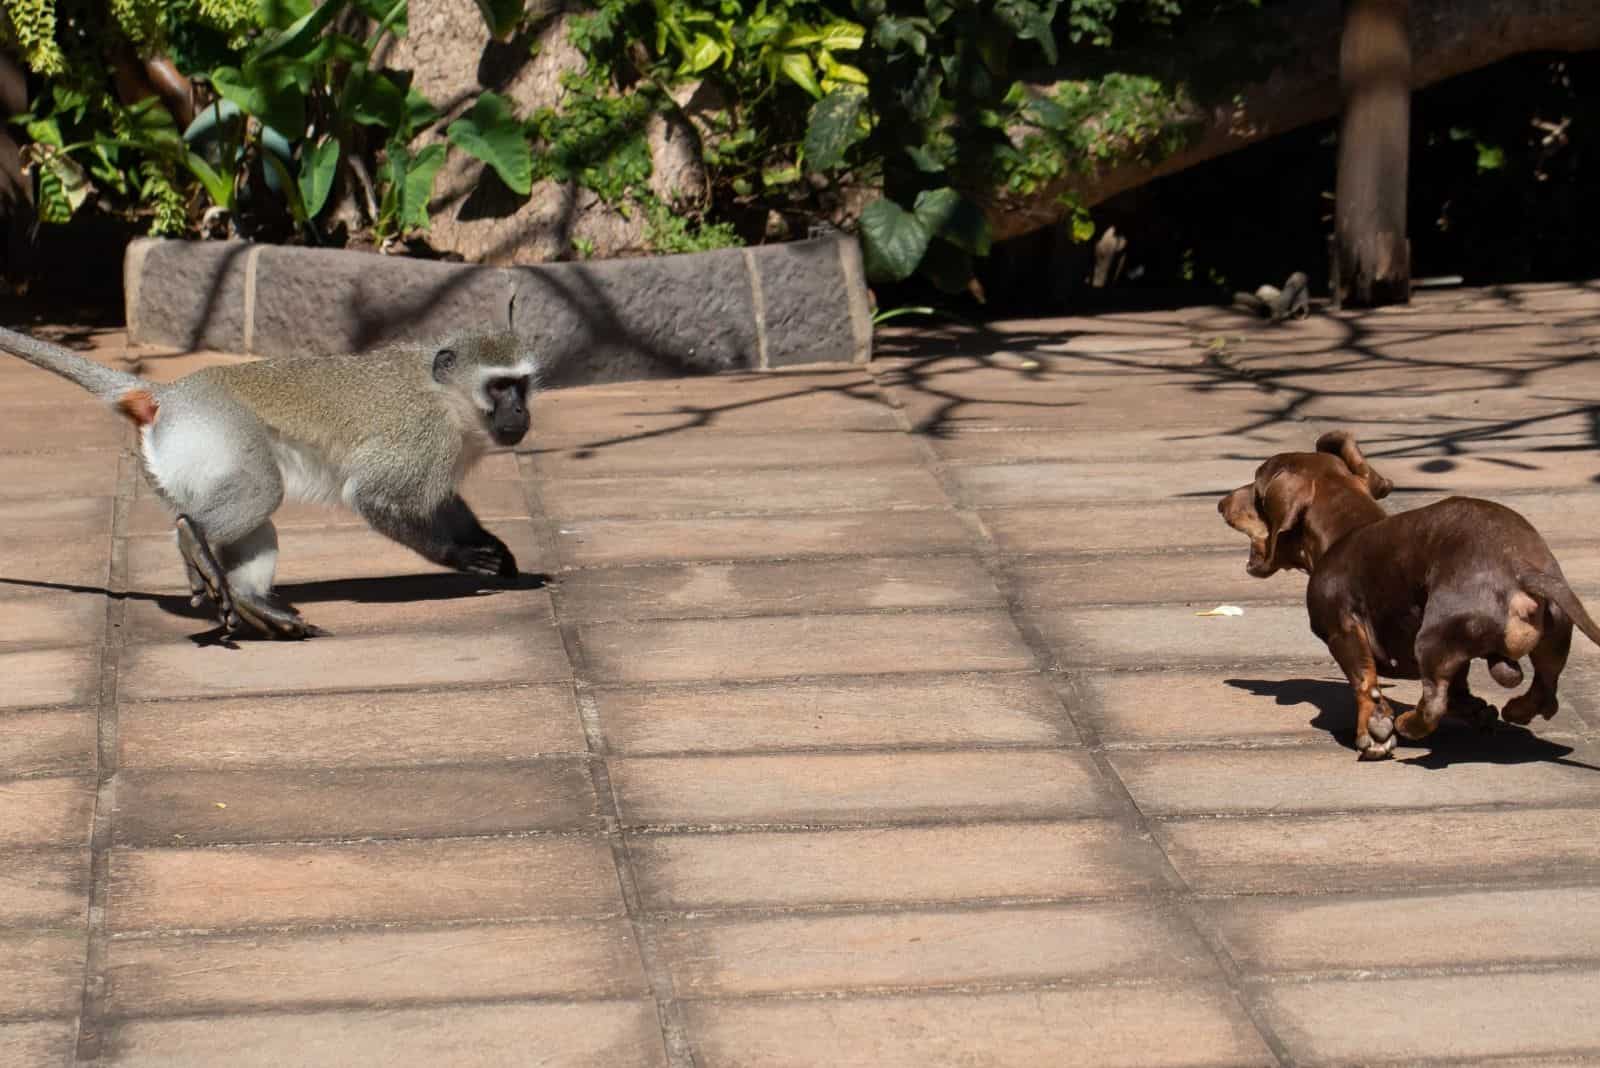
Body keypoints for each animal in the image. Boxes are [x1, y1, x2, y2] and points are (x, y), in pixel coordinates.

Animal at [0, 326, 537, 639]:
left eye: (522, 386)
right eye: (499, 387)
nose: (520, 412)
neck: (451, 400)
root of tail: (170, 393)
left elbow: (440, 500)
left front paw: (491, 547)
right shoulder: (426, 436)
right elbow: (372, 495)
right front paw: (461, 556)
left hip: (175, 463)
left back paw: (247, 598)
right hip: (214, 427)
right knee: (261, 489)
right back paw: (193, 538)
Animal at [1216, 431, 1593, 757]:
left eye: (1256, 483)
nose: (1220, 503)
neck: (1345, 530)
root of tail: (1520, 569)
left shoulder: (1342, 631)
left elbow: (1364, 680)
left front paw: (1373, 730)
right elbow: (1459, 687)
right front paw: (1476, 709)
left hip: (1430, 637)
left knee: (1433, 704)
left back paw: (1408, 724)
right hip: (1554, 641)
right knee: (1546, 690)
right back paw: (1515, 709)